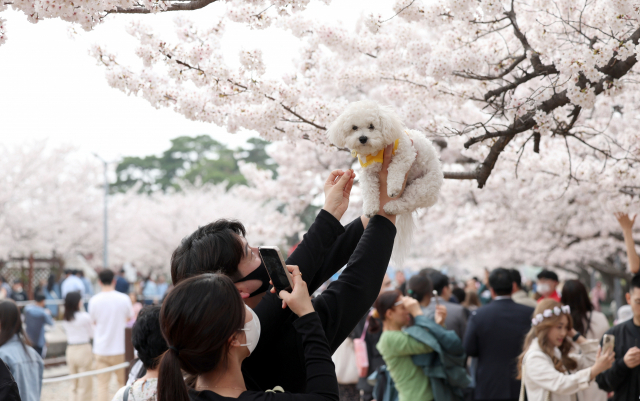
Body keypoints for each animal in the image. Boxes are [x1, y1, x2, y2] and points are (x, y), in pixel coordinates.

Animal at [328, 100, 442, 262]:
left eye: (371, 126)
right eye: (354, 127)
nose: (362, 138)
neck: (377, 152)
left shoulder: (405, 153)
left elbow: (396, 168)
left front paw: (392, 188)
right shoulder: (368, 172)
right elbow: (369, 190)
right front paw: (370, 208)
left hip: (423, 187)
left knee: (407, 202)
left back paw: (391, 207)